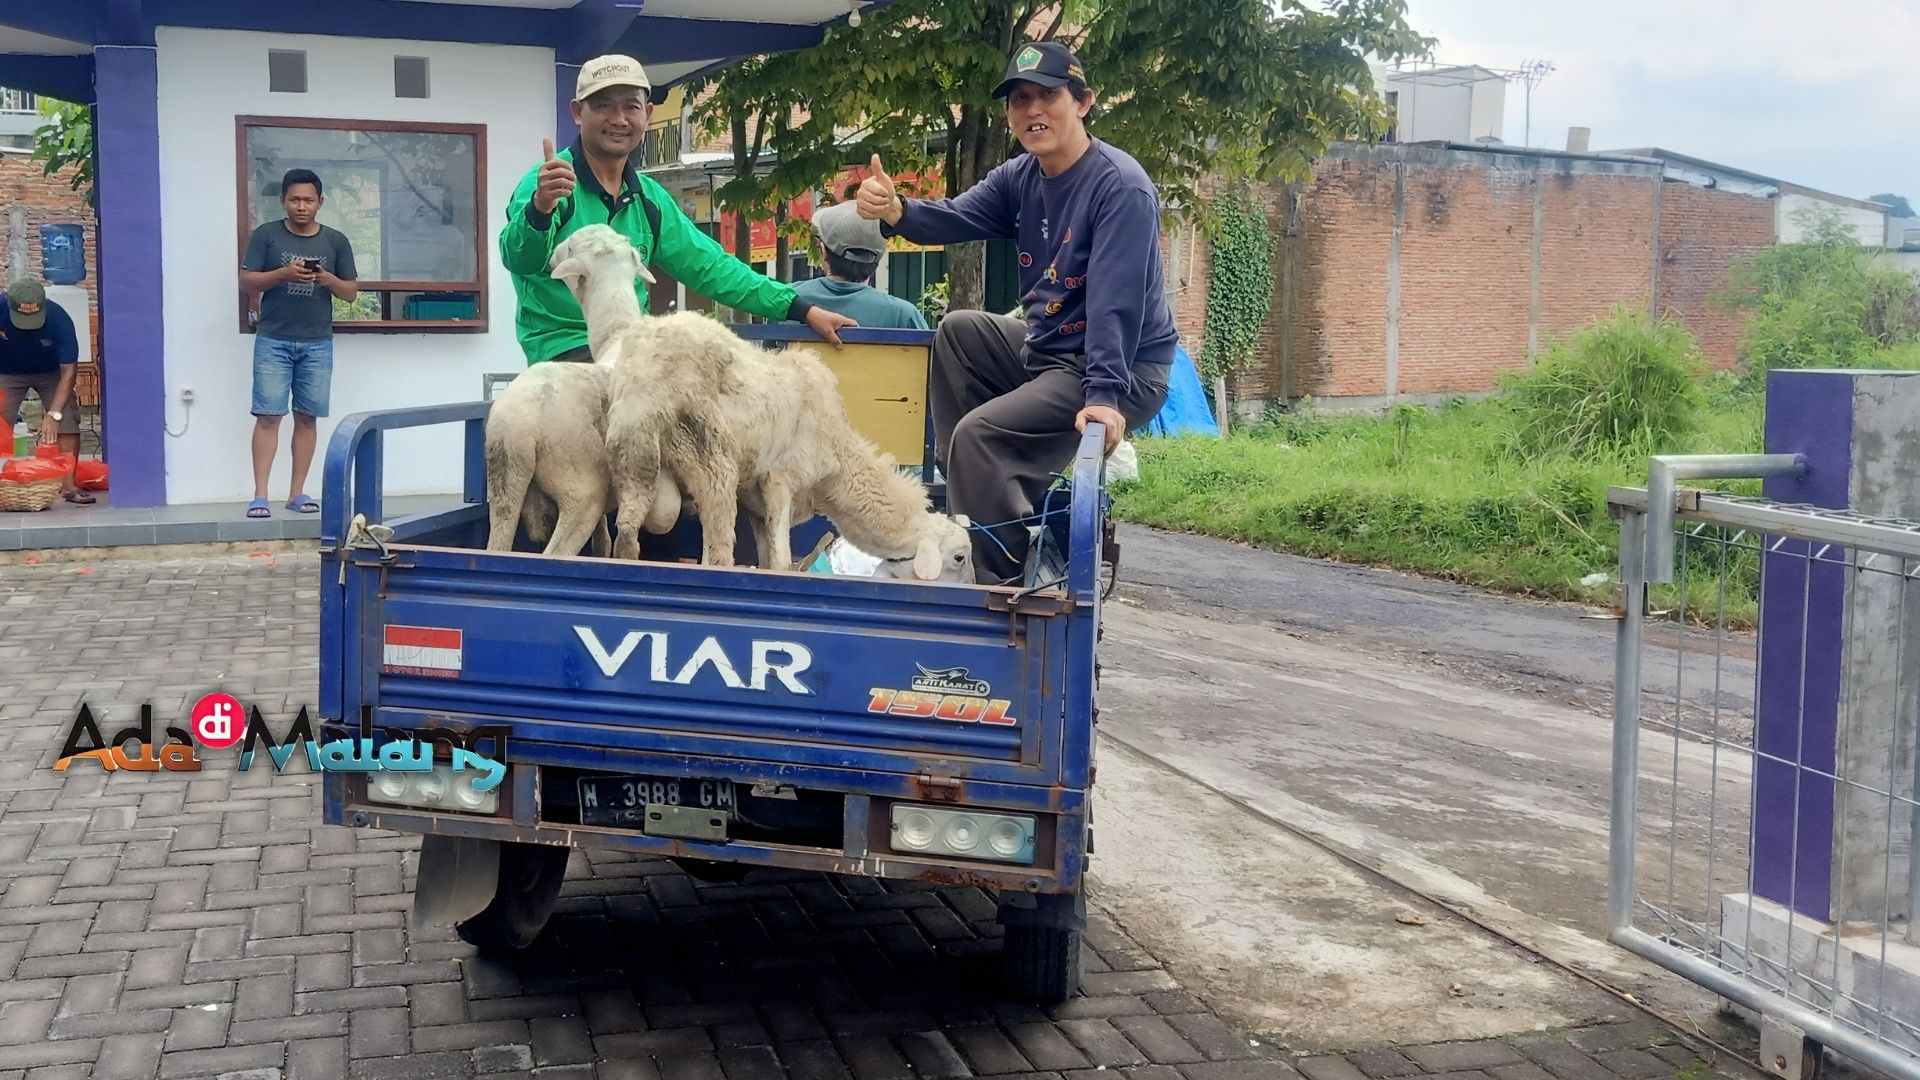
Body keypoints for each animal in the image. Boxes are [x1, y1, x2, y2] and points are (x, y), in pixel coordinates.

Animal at [552, 224, 975, 580]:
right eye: (960, 557)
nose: (552, 254)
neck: (839, 460)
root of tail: (647, 384)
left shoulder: (757, 505)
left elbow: (769, 559)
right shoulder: (779, 483)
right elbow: (782, 563)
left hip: (633, 463)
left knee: (626, 537)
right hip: (712, 463)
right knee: (717, 554)